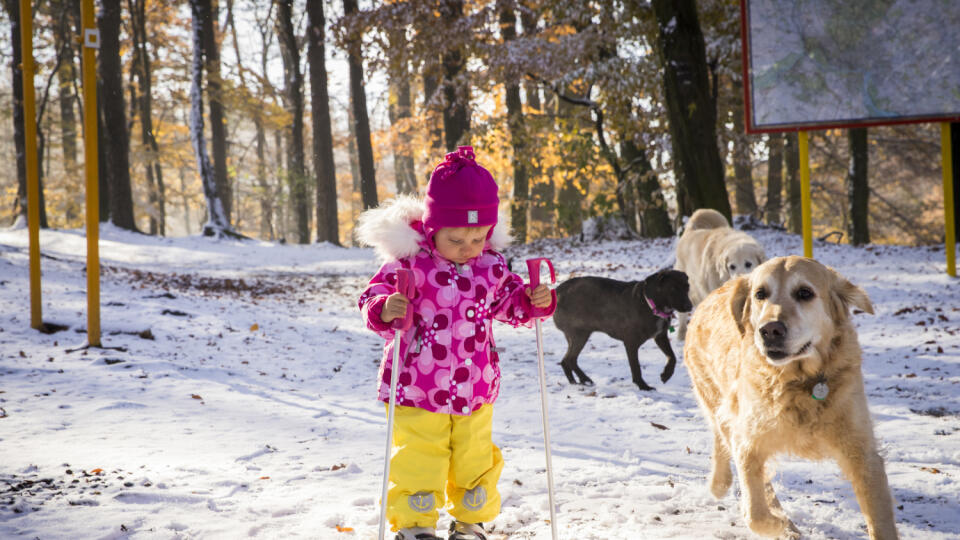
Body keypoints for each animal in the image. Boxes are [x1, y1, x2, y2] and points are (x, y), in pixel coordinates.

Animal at [552, 272, 692, 390]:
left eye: (687, 287)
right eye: (673, 288)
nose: (689, 306)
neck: (650, 305)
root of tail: (558, 291)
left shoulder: (660, 336)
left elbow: (672, 357)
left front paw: (666, 375)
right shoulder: (631, 343)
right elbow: (636, 367)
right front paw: (643, 386)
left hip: (578, 335)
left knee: (567, 361)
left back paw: (580, 380)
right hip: (579, 334)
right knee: (569, 359)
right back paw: (581, 379)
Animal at [688, 258, 896, 540]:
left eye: (804, 293)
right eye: (760, 294)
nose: (769, 330)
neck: (799, 380)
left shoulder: (862, 452)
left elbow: (881, 521)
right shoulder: (748, 443)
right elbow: (755, 514)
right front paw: (781, 525)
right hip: (716, 401)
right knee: (723, 437)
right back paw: (722, 485)